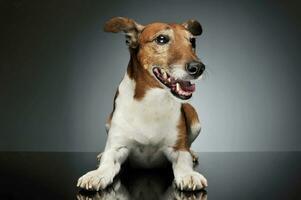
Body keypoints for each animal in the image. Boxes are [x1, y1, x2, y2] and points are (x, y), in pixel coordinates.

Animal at [77, 17, 206, 192]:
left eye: (192, 41)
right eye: (161, 39)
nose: (198, 68)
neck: (152, 101)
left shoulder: (178, 148)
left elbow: (183, 160)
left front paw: (189, 174)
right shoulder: (118, 146)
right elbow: (108, 159)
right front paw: (97, 174)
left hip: (194, 118)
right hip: (107, 122)